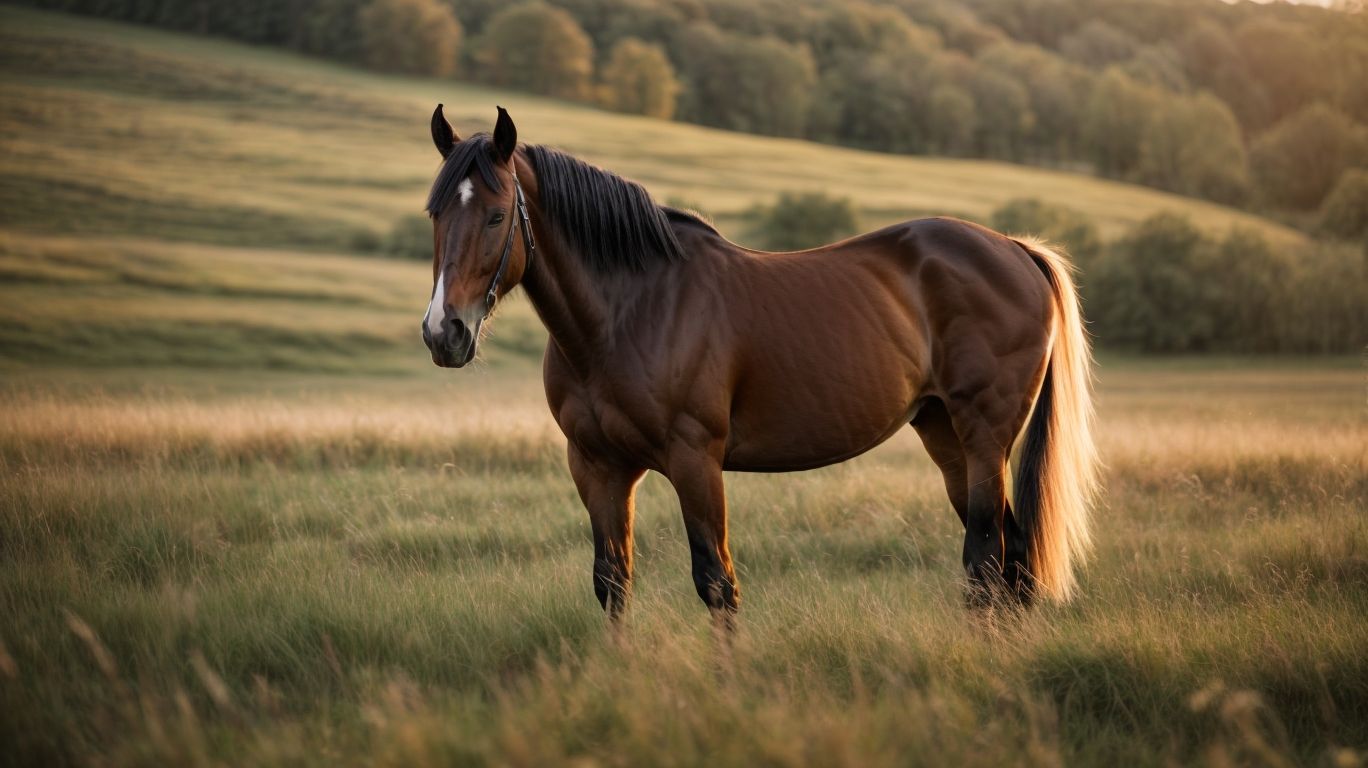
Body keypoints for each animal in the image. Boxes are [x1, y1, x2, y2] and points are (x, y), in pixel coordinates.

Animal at [421, 105, 1099, 625]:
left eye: (497, 215)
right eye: (436, 213)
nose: (443, 333)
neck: (629, 311)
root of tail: (1015, 249)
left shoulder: (695, 461)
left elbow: (716, 584)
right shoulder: (597, 467)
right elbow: (612, 582)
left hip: (985, 438)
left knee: (987, 560)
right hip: (944, 436)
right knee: (1009, 563)